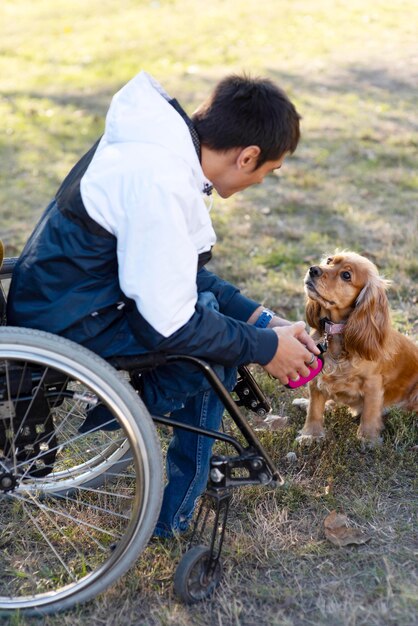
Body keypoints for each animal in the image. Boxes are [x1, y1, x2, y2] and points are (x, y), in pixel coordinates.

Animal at [298, 250, 418, 444]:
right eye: (329, 261)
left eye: (346, 275)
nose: (313, 269)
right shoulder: (318, 378)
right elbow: (314, 409)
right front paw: (311, 434)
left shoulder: (373, 384)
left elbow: (369, 413)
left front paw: (368, 439)